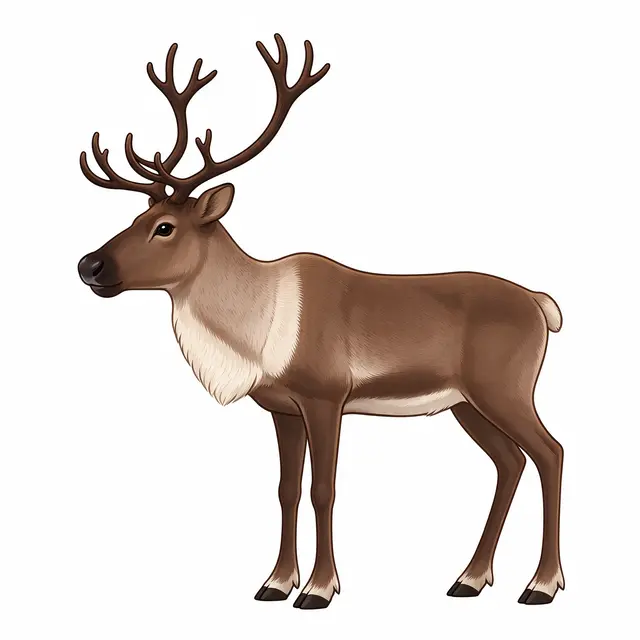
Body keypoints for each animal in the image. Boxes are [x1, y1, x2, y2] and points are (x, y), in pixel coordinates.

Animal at [77, 35, 565, 609]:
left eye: (165, 227)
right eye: (135, 219)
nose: (89, 265)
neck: (256, 330)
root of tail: (541, 304)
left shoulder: (326, 395)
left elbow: (323, 490)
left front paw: (319, 588)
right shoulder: (281, 407)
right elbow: (286, 490)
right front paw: (274, 582)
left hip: (504, 388)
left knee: (550, 453)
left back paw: (542, 585)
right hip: (465, 402)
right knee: (509, 462)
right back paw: (469, 578)